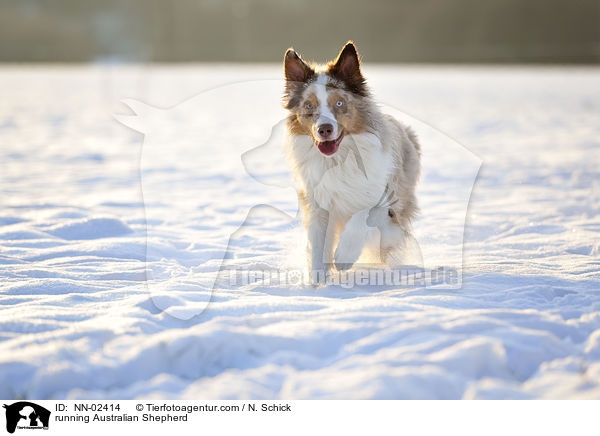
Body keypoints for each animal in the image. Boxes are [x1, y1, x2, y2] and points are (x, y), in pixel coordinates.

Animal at [282, 41, 420, 286]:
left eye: (339, 103)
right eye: (308, 106)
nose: (324, 129)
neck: (339, 160)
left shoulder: (388, 200)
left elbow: (364, 213)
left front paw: (345, 255)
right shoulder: (317, 205)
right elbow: (317, 247)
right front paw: (317, 284)